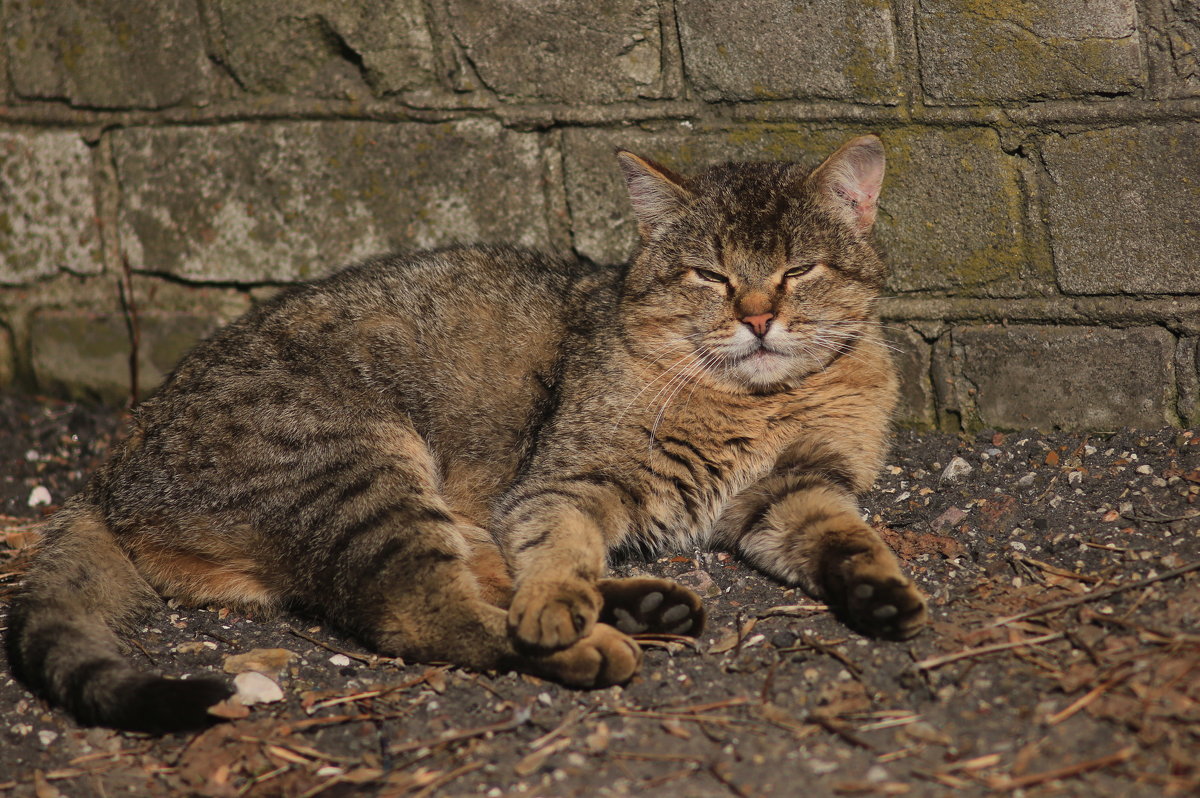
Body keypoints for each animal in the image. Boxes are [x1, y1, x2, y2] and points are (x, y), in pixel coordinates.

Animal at [2, 133, 926, 729]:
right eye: (710, 275)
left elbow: (845, 537)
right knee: (427, 613)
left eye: (799, 270)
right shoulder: (562, 483)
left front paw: (880, 591)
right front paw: (559, 608)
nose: (760, 318)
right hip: (362, 468)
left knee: (477, 576)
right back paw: (584, 642)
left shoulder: (794, 490)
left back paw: (637, 604)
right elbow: (556, 550)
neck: (761, 402)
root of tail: (111, 469)